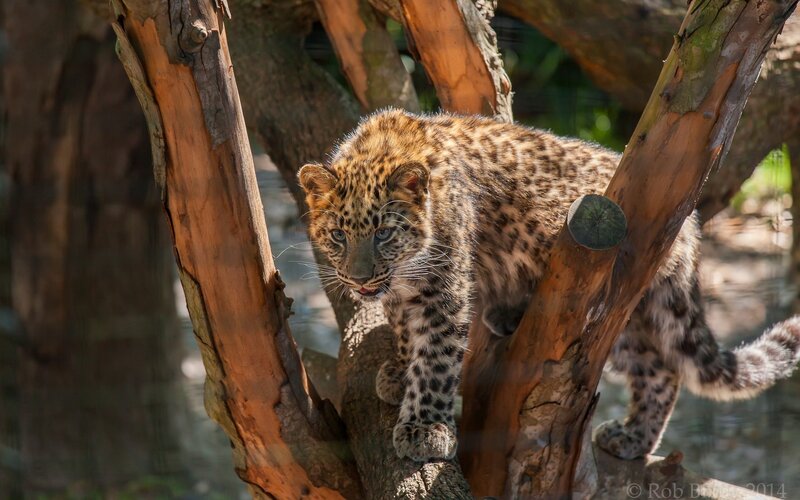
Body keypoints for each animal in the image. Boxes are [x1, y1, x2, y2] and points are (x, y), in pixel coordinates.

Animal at [298, 108, 800, 462]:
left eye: (384, 233)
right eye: (338, 235)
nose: (360, 278)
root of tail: (691, 225)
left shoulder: (444, 289)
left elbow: (436, 358)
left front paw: (425, 429)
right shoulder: (402, 292)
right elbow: (406, 333)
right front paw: (400, 373)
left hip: (611, 298)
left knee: (660, 365)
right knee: (659, 367)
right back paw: (631, 437)